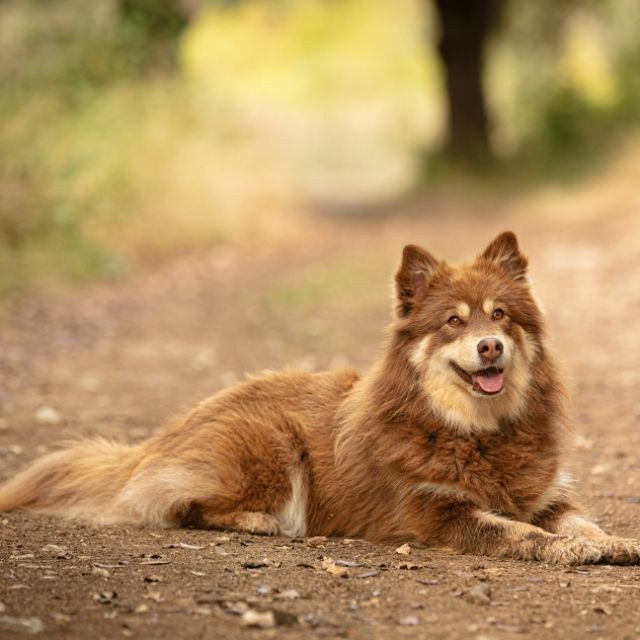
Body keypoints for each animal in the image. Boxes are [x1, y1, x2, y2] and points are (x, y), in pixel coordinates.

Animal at [1, 231, 640, 564]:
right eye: (454, 322)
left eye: (501, 315)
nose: (490, 347)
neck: (476, 430)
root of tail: (160, 437)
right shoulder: (440, 512)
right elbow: (520, 533)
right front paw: (572, 551)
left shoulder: (547, 496)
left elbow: (582, 523)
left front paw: (615, 542)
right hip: (272, 443)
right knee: (178, 505)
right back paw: (258, 522)